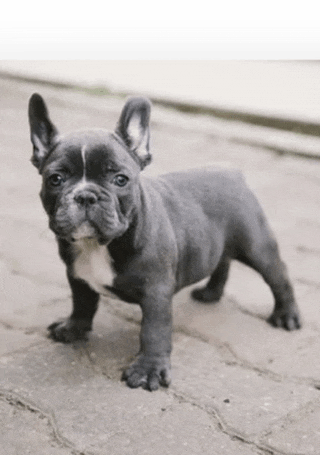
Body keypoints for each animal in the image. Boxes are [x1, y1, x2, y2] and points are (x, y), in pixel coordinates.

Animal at [28, 93, 302, 392]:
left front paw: (148, 370)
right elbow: (82, 303)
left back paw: (286, 315)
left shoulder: (156, 291)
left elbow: (153, 331)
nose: (86, 195)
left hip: (256, 246)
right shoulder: (78, 276)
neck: (98, 245)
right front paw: (73, 328)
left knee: (278, 275)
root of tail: (233, 173)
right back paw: (210, 293)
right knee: (222, 262)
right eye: (55, 179)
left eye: (120, 179)